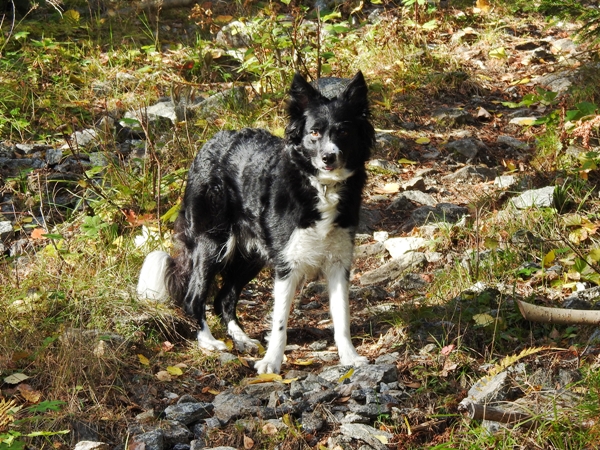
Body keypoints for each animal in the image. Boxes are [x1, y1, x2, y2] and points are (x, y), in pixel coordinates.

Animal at [138, 71, 378, 372]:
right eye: (314, 132)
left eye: (344, 131)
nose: (328, 157)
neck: (320, 186)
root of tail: (210, 143)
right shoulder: (287, 265)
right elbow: (280, 323)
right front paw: (272, 363)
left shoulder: (338, 261)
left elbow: (342, 317)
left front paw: (350, 357)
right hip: (212, 242)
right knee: (194, 298)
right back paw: (209, 341)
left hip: (252, 254)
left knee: (223, 298)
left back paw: (240, 339)